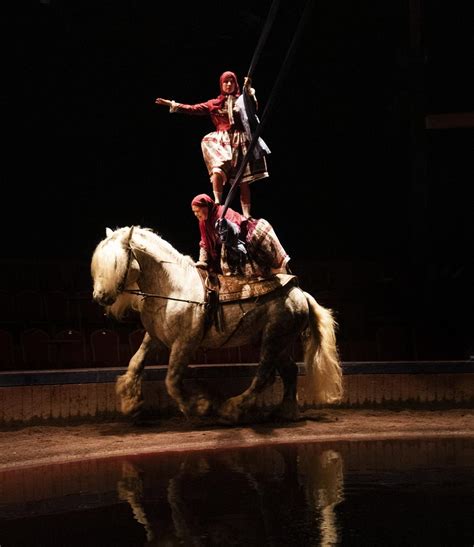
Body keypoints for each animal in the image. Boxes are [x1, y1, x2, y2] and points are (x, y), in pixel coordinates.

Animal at [90, 227, 342, 424]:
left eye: (115, 263)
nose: (100, 297)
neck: (173, 288)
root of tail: (299, 293)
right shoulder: (155, 338)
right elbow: (135, 363)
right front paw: (131, 403)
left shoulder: (185, 343)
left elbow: (172, 380)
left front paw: (200, 407)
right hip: (276, 342)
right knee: (288, 371)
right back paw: (286, 411)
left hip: (273, 339)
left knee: (264, 375)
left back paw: (231, 409)